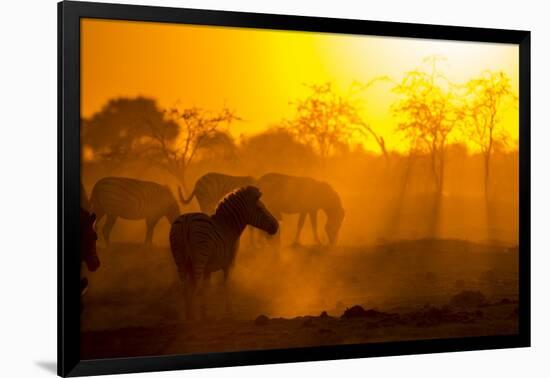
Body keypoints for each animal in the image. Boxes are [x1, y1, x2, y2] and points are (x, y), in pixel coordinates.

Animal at [169, 185, 280, 318]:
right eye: (260, 209)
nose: (277, 226)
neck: (228, 226)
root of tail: (186, 221)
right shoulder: (229, 263)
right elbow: (226, 284)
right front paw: (229, 310)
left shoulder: (208, 268)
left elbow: (206, 287)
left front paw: (205, 312)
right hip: (199, 257)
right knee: (195, 285)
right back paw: (191, 316)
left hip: (180, 258)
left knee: (184, 286)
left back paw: (188, 314)